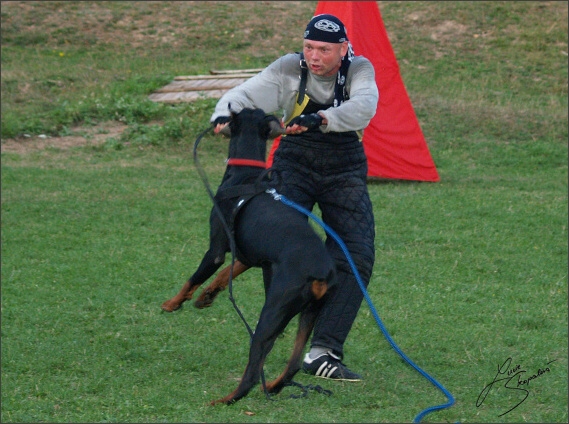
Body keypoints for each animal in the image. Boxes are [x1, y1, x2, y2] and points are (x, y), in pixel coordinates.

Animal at [162, 107, 336, 404]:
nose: (216, 120)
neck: (246, 176)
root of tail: (321, 271)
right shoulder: (250, 256)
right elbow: (223, 275)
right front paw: (206, 296)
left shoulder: (216, 249)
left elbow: (194, 278)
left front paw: (173, 303)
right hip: (310, 312)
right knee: (293, 364)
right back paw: (275, 386)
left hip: (272, 312)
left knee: (253, 372)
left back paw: (225, 400)